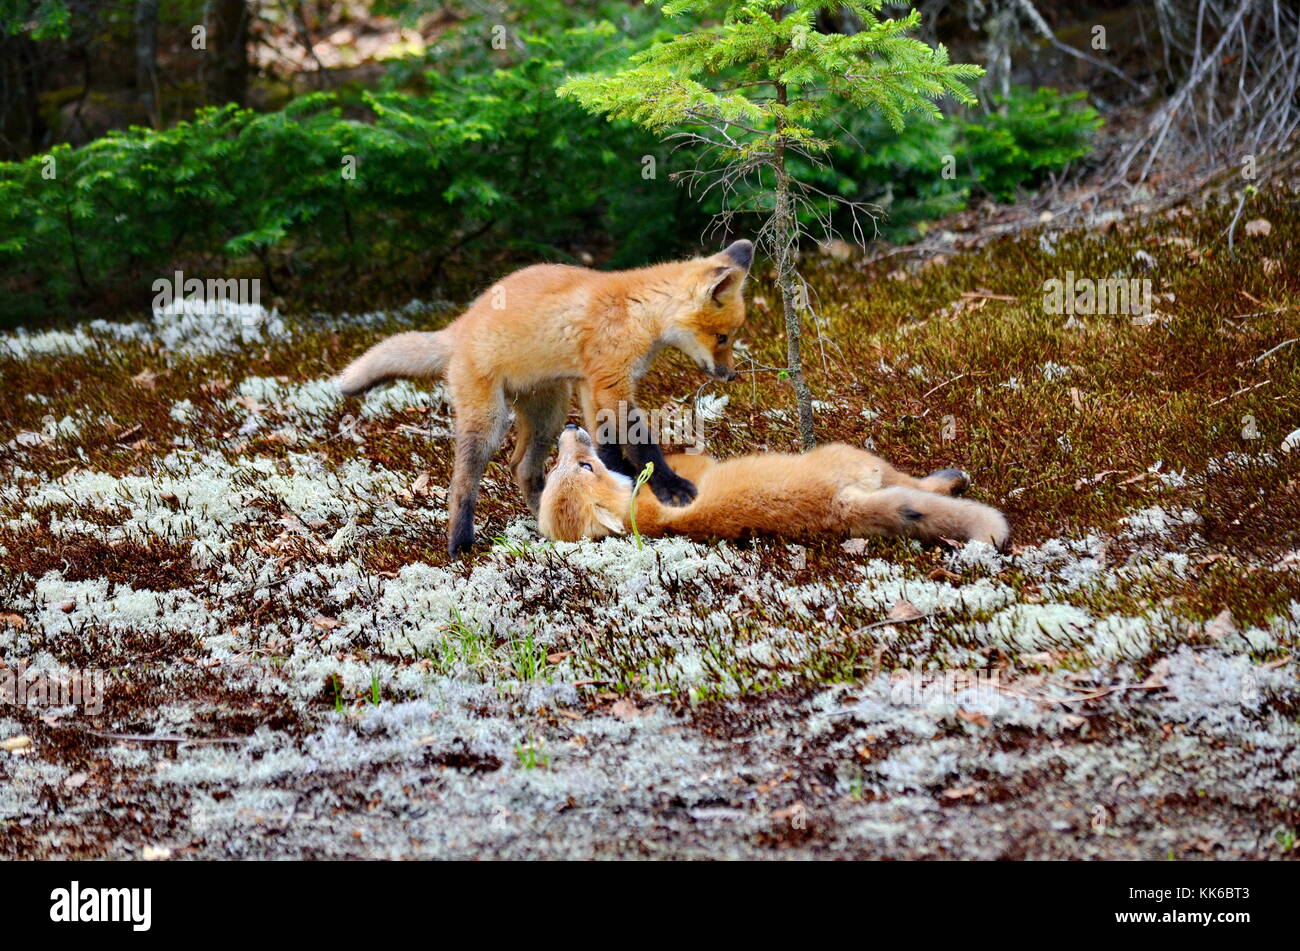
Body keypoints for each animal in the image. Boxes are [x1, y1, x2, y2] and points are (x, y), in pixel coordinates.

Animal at [336, 240, 754, 556]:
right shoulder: (611, 383)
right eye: (722, 337)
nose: (731, 375)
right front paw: (670, 487)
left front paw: (622, 485)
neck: (638, 312)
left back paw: (541, 520)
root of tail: (460, 325)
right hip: (489, 422)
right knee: (462, 483)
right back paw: (460, 544)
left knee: (522, 468)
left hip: (550, 414)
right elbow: (642, 446)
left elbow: (607, 448)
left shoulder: (591, 387)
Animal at [538, 425, 1011, 549]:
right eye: (584, 465)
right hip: (853, 456)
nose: (569, 428)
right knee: (916, 484)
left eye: (569, 463)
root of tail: (837, 509)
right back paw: (951, 478)